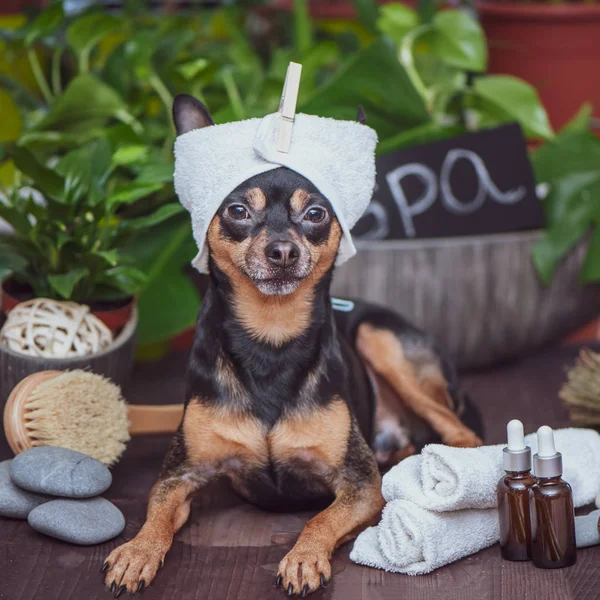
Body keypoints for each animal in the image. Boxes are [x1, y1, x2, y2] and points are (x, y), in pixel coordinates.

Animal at [101, 97, 480, 596]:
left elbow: (320, 519)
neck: (271, 339)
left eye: (316, 214)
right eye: (237, 210)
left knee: (462, 435)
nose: (282, 250)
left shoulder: (361, 484)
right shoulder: (180, 475)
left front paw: (302, 558)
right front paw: (137, 552)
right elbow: (156, 515)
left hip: (380, 339)